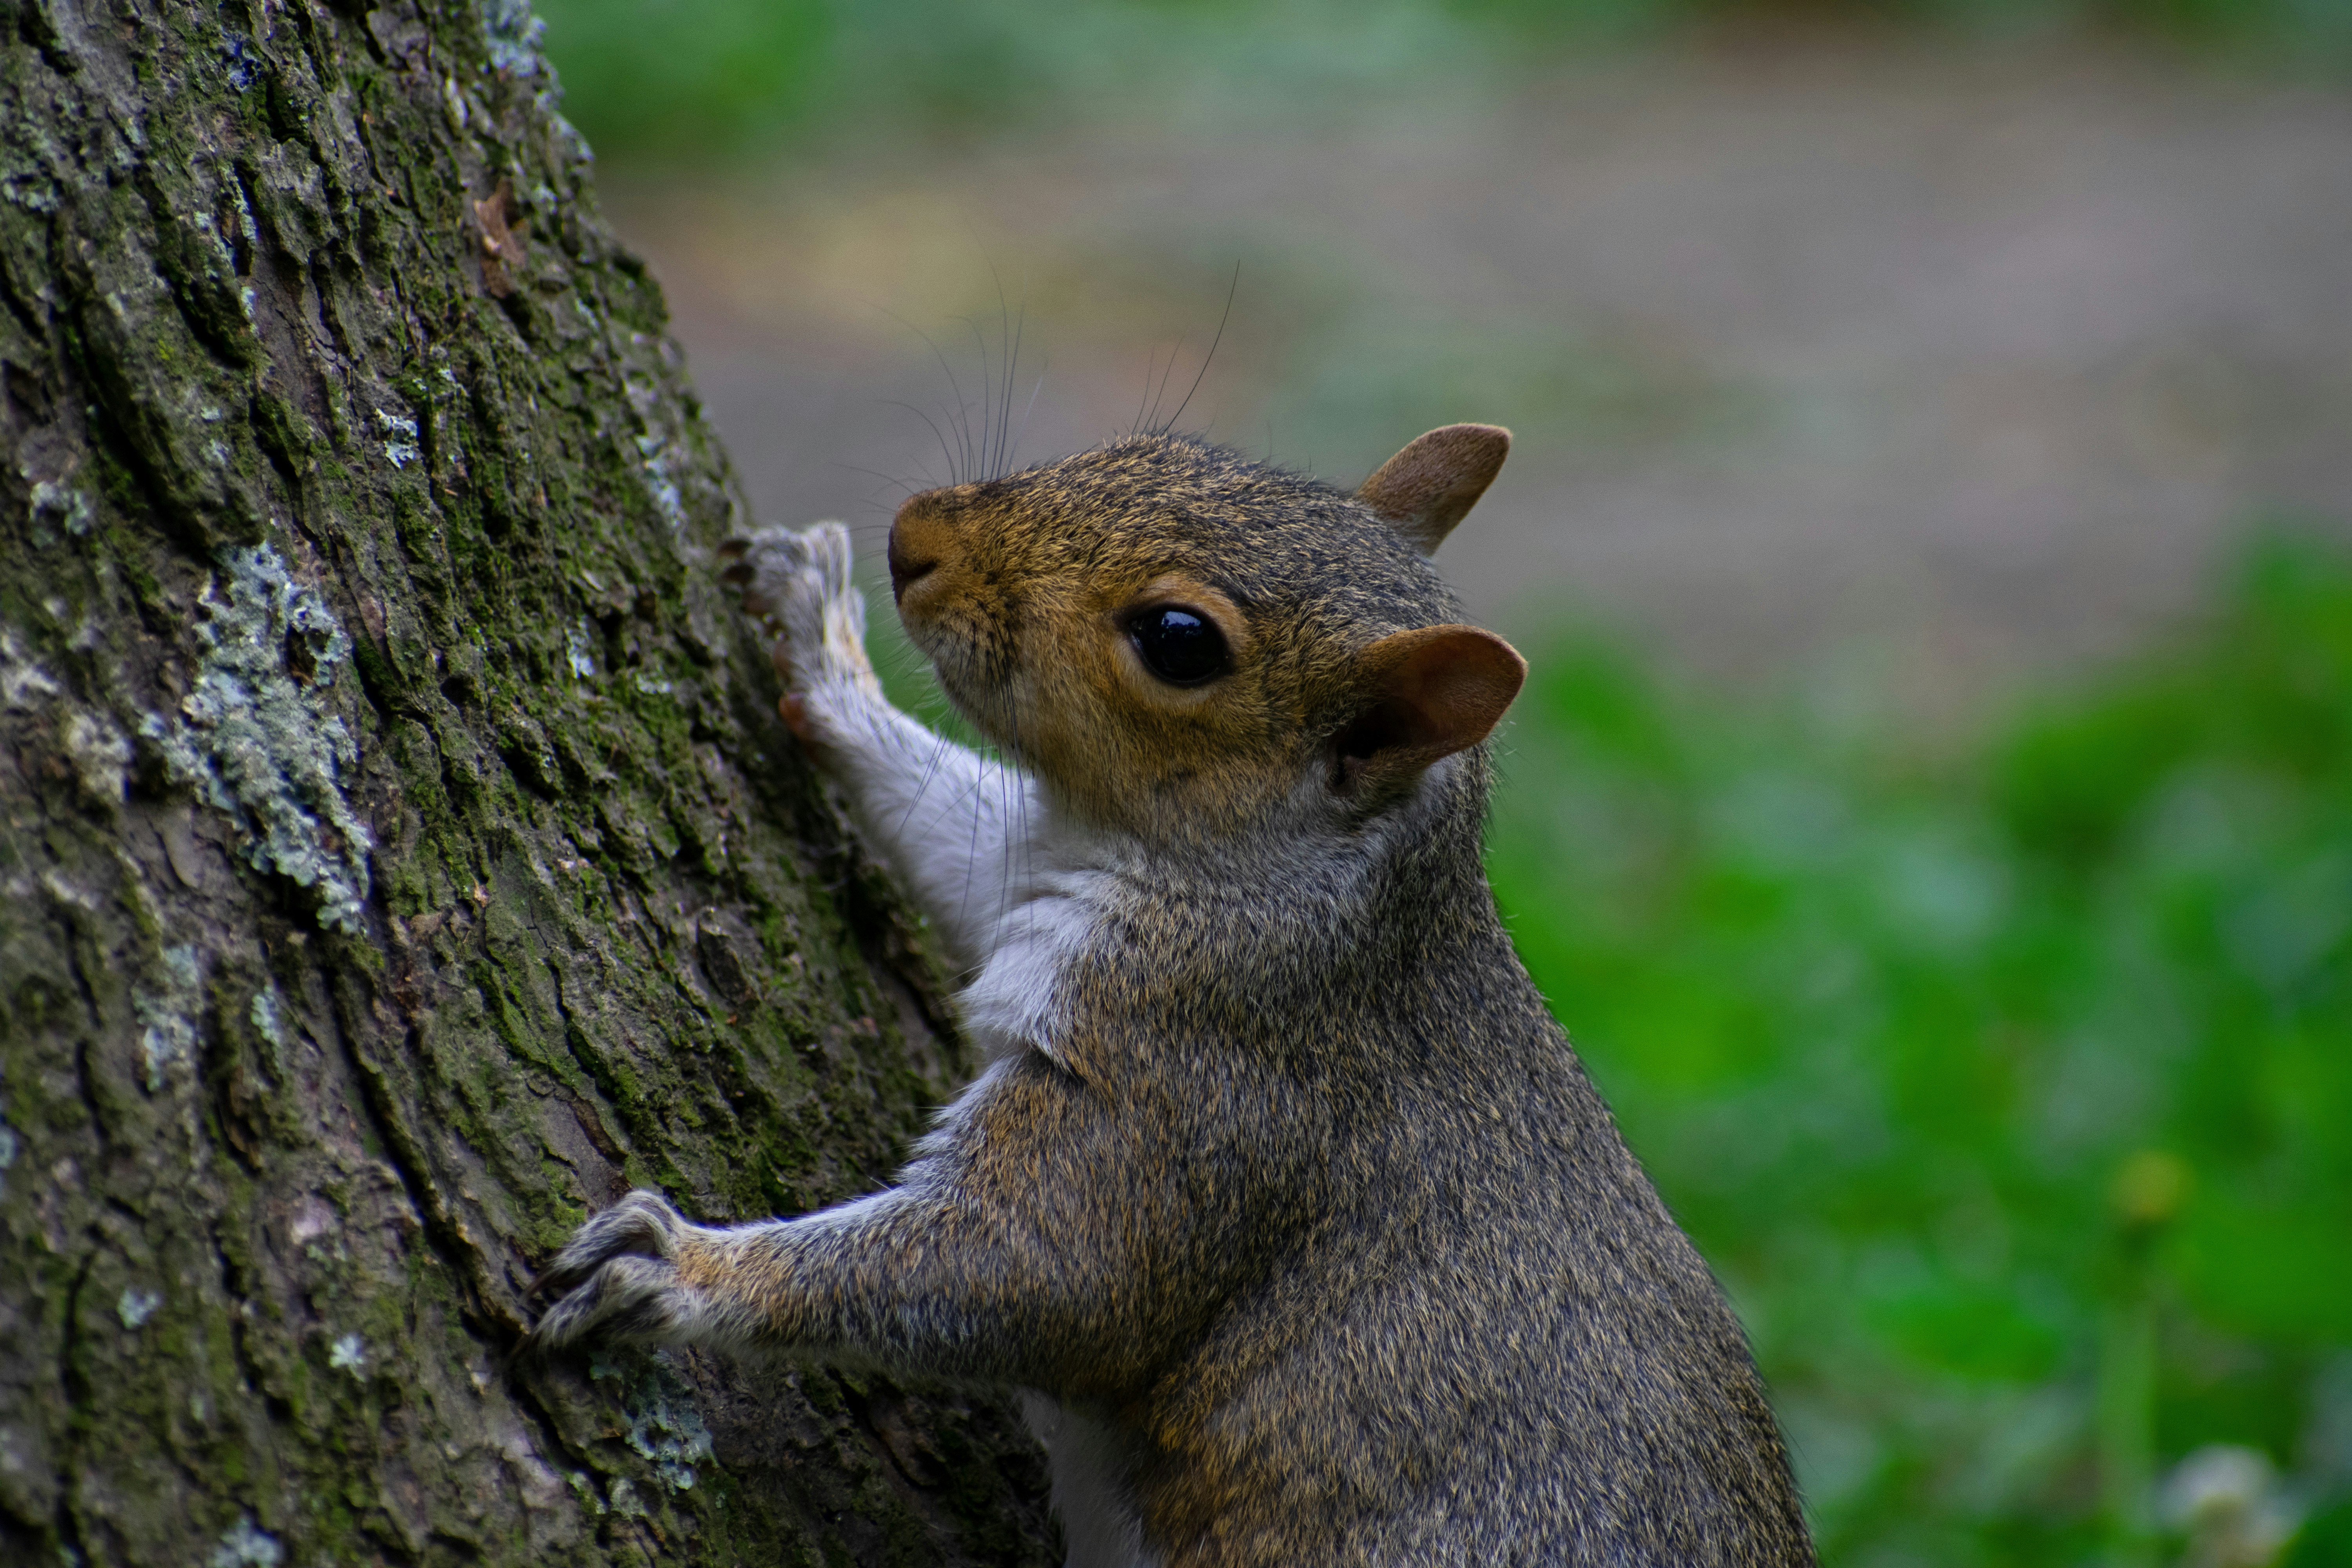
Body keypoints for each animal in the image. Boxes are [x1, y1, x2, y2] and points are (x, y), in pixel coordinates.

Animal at [528, 424, 1816, 1567]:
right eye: (1163, 447)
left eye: (1178, 640)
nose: (914, 539)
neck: (1265, 877)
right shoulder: (1035, 875)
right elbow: (946, 823)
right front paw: (819, 645)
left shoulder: (1202, 1092)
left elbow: (1034, 1271)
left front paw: (684, 1269)